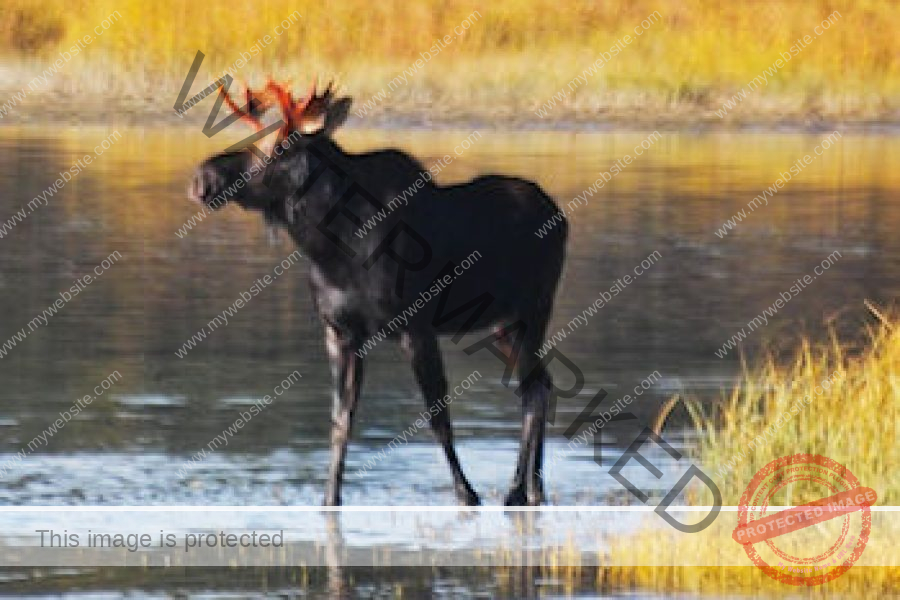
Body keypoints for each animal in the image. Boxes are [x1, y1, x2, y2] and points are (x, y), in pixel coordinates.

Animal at [188, 79, 568, 506]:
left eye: (280, 147)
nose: (202, 178)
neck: (331, 249)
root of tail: (561, 217)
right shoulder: (340, 332)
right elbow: (341, 420)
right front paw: (329, 498)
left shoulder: (415, 327)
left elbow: (438, 417)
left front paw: (467, 494)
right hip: (502, 325)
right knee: (541, 384)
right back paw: (531, 487)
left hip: (532, 311)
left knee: (533, 389)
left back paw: (520, 489)